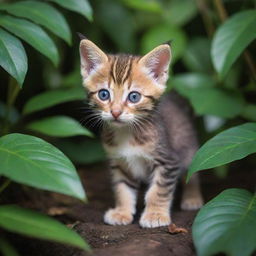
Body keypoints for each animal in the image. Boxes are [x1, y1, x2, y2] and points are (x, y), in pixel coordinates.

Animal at [79, 38, 203, 228]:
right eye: (104, 94)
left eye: (134, 97)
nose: (115, 112)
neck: (127, 132)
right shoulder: (119, 162)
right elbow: (122, 189)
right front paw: (122, 212)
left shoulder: (168, 160)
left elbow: (158, 190)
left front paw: (155, 214)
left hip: (189, 148)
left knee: (193, 172)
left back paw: (192, 197)